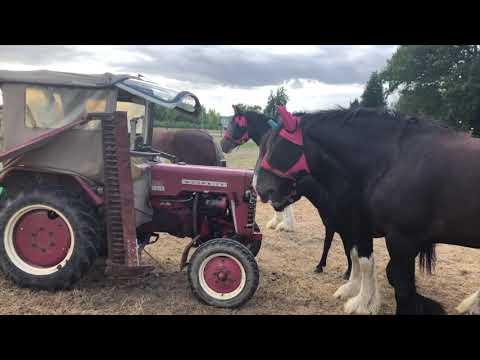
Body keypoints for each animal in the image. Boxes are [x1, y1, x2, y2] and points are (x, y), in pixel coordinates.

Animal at [255, 105, 480, 316]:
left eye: (277, 146)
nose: (260, 187)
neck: (393, 162)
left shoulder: (400, 240)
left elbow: (401, 287)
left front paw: (363, 301)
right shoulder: (357, 228)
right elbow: (361, 260)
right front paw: (361, 298)